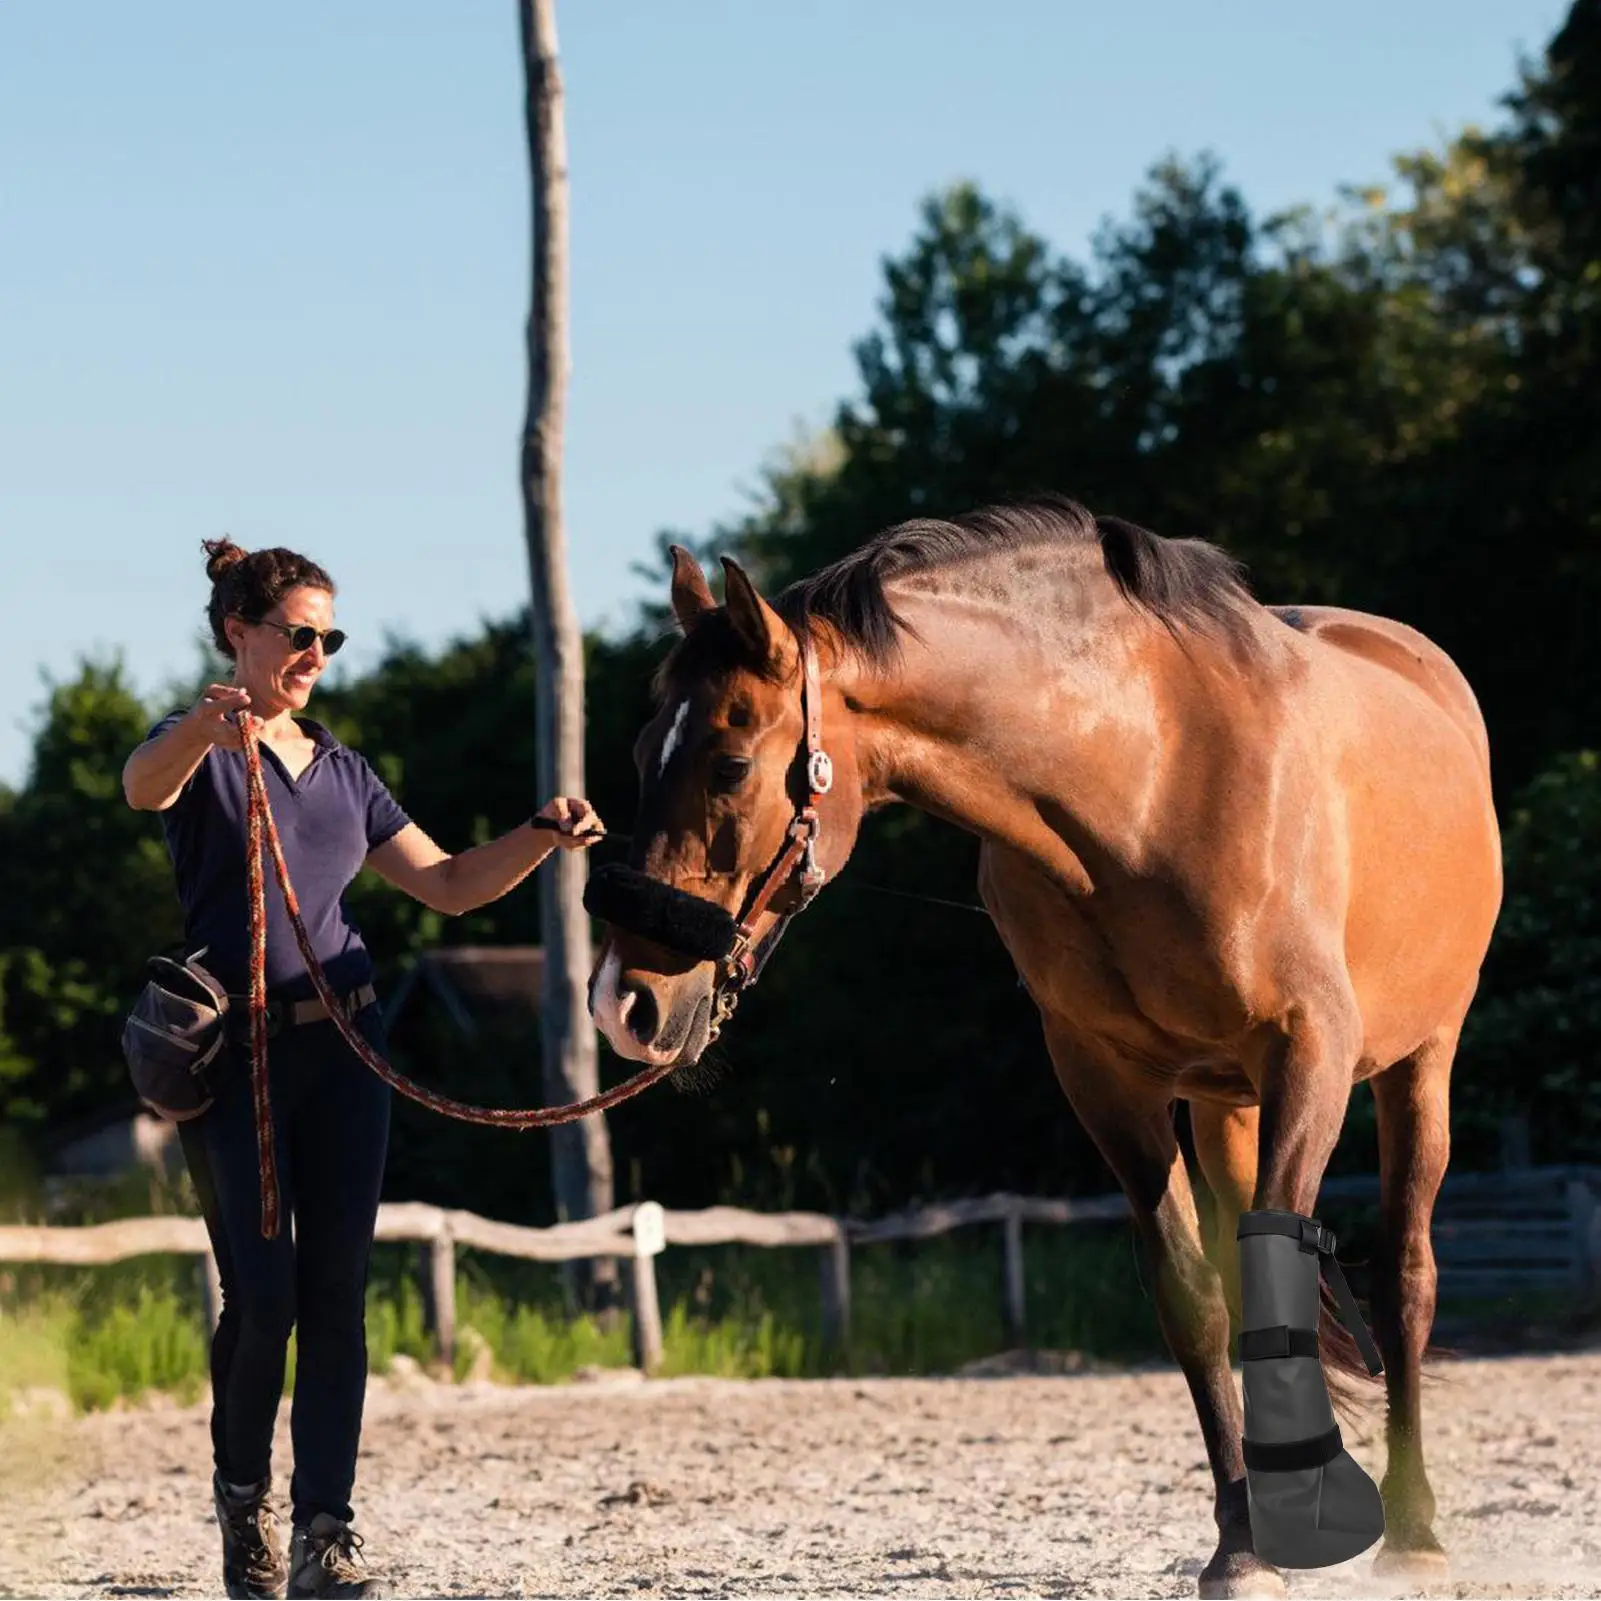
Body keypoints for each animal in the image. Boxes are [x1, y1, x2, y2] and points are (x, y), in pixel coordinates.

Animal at [582, 496, 1502, 1598]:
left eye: (727, 762)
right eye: (643, 752)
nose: (624, 1000)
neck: (1147, 784)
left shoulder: (1310, 1055)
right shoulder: (1106, 1081)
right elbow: (1196, 1300)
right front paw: (1241, 1544)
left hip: (1420, 1063)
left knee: (1405, 1276)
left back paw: (1414, 1527)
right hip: (1225, 1103)